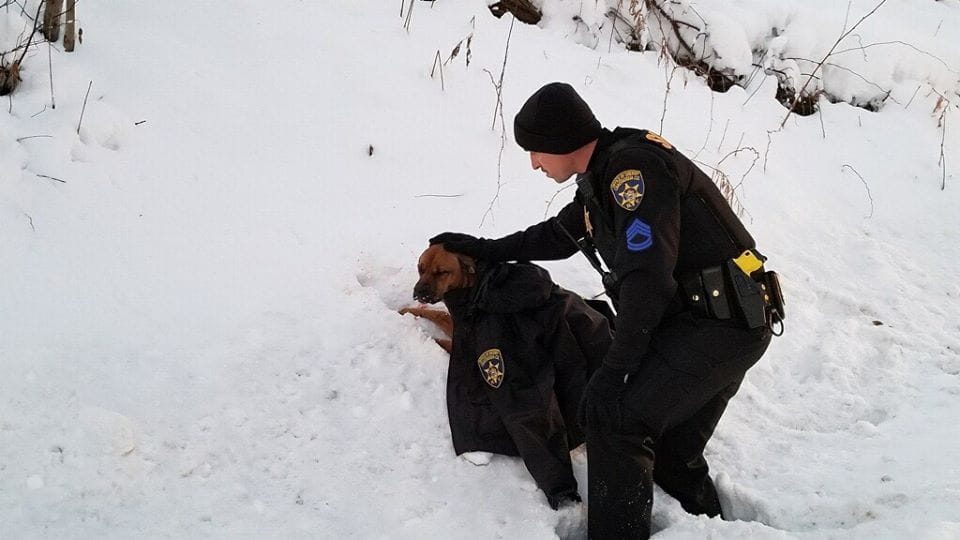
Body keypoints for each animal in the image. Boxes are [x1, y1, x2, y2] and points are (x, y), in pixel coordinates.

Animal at [400, 243, 612, 508]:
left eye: (442, 272)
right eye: (421, 268)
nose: (419, 292)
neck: (479, 288)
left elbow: (438, 333)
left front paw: (419, 329)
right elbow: (436, 314)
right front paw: (405, 310)